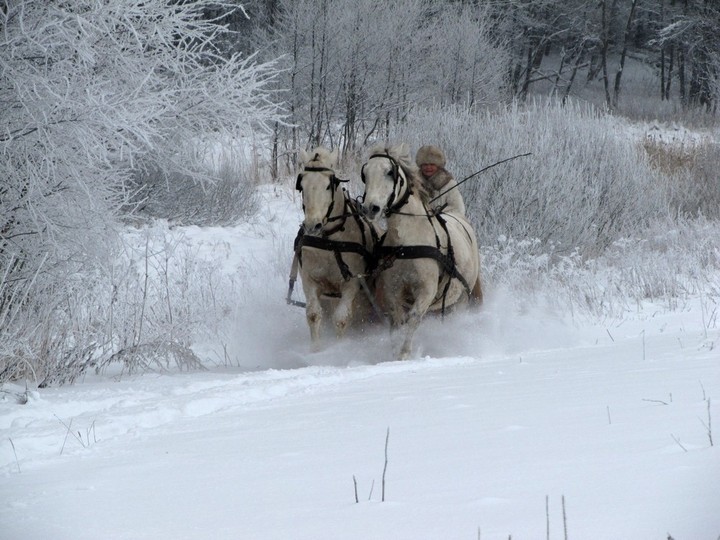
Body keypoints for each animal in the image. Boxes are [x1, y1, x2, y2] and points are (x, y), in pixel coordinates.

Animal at [292, 147, 382, 346]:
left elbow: (341, 319)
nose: (313, 225)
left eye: (328, 185)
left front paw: (339, 347)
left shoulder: (352, 284)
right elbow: (313, 315)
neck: (329, 241)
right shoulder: (310, 280)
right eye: (302, 185)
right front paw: (316, 349)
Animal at [358, 143, 480, 358]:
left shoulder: (426, 290)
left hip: (461, 299)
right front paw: (395, 352)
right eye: (365, 174)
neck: (406, 244)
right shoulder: (393, 290)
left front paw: (405, 353)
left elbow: (414, 319)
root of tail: (459, 217)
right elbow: (397, 320)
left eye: (389, 172)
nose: (370, 208)